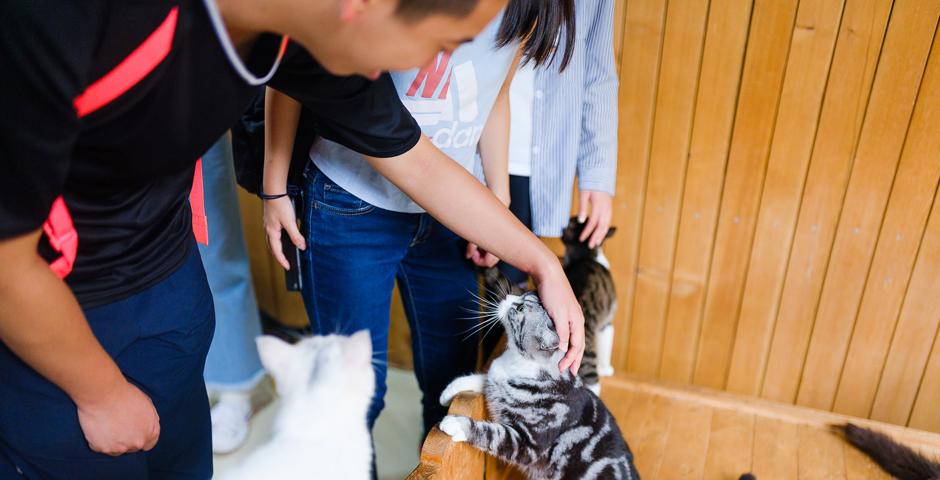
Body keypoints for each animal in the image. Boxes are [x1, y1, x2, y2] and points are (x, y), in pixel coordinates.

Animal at [438, 290, 640, 478]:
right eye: (522, 294)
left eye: (520, 308)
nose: (507, 296)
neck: (514, 362)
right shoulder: (494, 378)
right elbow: (478, 378)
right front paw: (447, 393)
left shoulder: (528, 442)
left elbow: (491, 434)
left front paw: (455, 423)